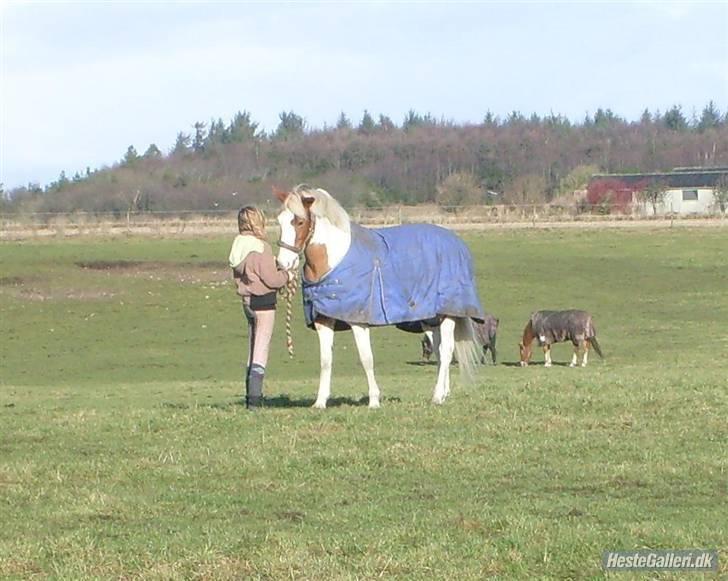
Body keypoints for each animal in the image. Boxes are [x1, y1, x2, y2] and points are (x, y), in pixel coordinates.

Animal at [272, 184, 484, 406]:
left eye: (299, 221)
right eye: (279, 220)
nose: (283, 264)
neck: (336, 260)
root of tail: (457, 243)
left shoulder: (358, 321)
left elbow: (366, 359)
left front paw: (374, 401)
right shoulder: (323, 320)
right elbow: (325, 361)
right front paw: (320, 402)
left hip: (448, 315)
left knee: (446, 351)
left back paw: (437, 397)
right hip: (429, 319)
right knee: (438, 349)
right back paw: (442, 393)